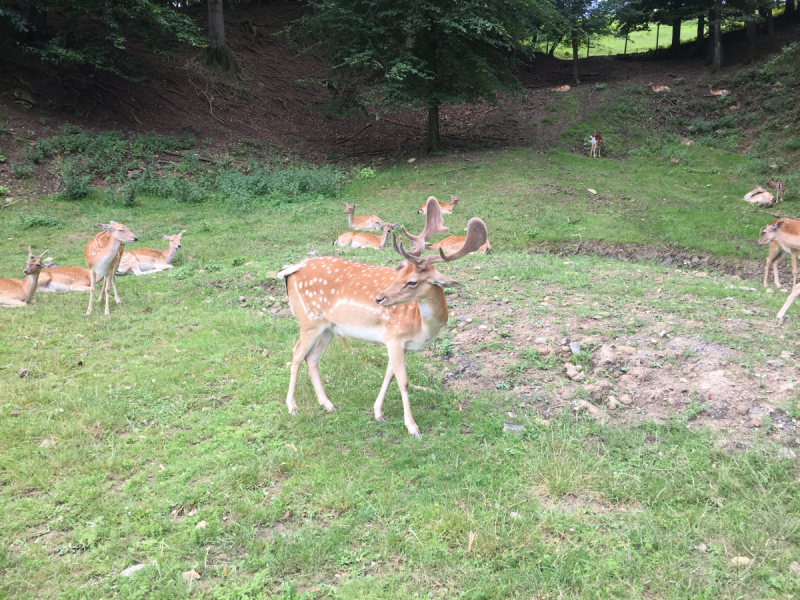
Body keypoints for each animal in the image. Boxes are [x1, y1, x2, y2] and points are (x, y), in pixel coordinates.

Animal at [276, 197, 488, 436]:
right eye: (400, 272)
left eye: (412, 281)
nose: (379, 298)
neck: (422, 326)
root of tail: (290, 270)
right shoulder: (394, 336)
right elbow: (403, 381)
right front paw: (412, 427)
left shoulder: (397, 343)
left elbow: (390, 374)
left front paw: (378, 413)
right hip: (309, 319)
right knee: (296, 354)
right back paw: (292, 406)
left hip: (329, 327)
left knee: (311, 358)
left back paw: (328, 404)